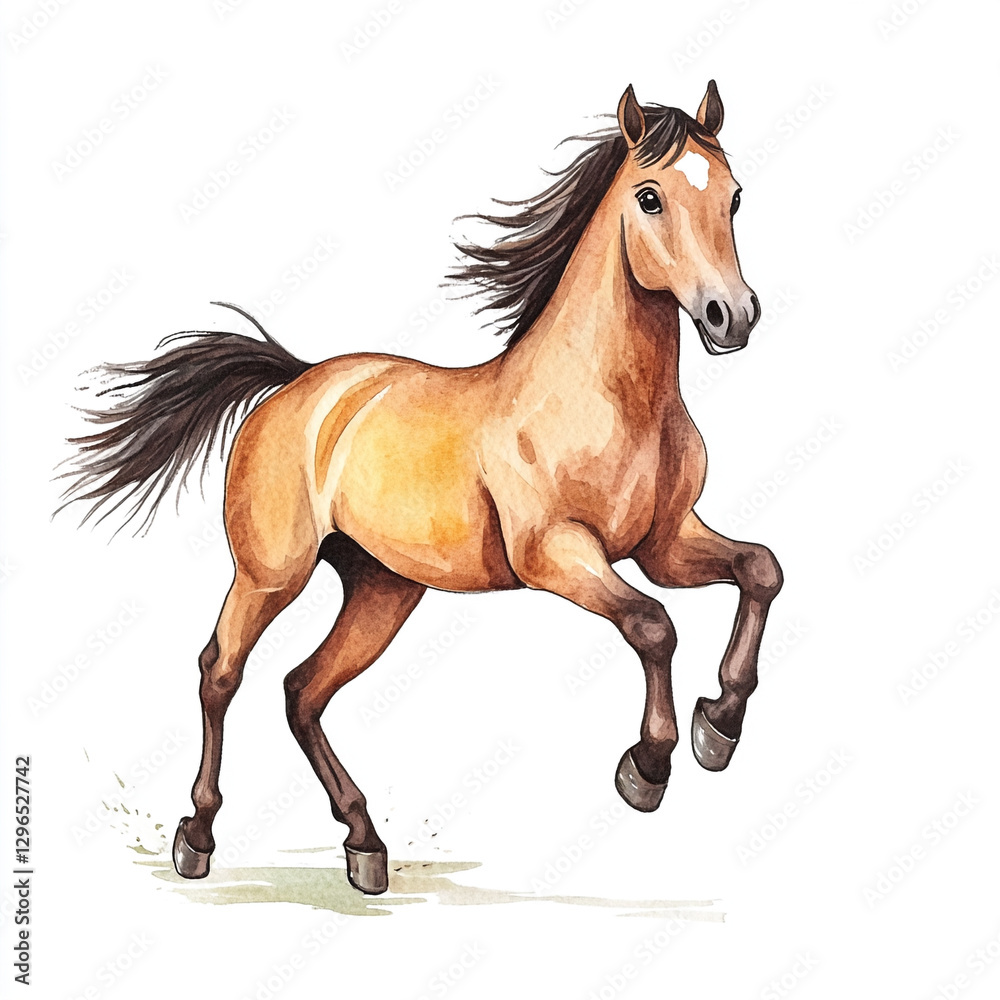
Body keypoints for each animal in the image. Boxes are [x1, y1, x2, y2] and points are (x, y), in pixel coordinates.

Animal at [60, 82, 782, 895]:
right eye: (651, 197)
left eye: (734, 196)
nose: (733, 316)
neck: (609, 401)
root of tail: (297, 385)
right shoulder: (555, 554)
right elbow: (653, 624)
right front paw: (650, 767)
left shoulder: (665, 542)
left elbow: (760, 569)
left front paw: (718, 726)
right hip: (271, 573)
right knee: (221, 673)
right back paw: (198, 837)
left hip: (383, 588)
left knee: (303, 690)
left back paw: (365, 845)